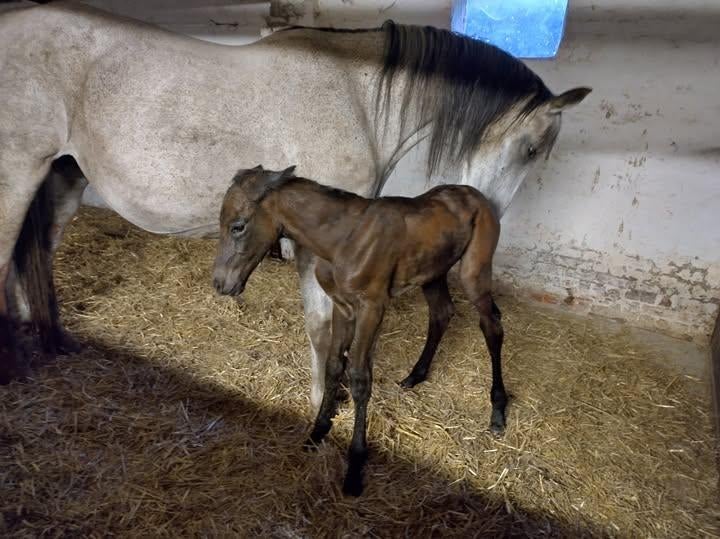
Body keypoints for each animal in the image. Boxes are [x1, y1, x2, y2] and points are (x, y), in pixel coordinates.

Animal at [0, 2, 590, 399]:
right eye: (532, 148)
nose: (484, 219)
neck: (360, 97)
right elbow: (322, 328)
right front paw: (323, 400)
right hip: (17, 177)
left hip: (63, 179)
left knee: (38, 255)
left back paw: (49, 337)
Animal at [213, 165, 506, 496]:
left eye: (238, 226)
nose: (220, 283)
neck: (342, 239)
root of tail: (475, 194)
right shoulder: (343, 306)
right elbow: (333, 365)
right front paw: (317, 433)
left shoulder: (372, 308)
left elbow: (359, 377)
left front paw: (354, 466)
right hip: (433, 272)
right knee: (442, 313)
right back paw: (415, 376)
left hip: (474, 271)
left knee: (491, 324)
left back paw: (498, 411)